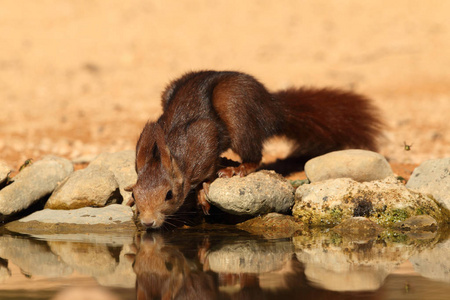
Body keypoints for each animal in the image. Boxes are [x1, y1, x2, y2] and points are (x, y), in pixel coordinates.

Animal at [129, 71, 384, 230]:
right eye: (136, 194)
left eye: (169, 194)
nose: (148, 222)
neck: (174, 151)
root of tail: (273, 108)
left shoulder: (204, 138)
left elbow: (208, 167)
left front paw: (203, 190)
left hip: (235, 108)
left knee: (254, 155)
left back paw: (238, 168)